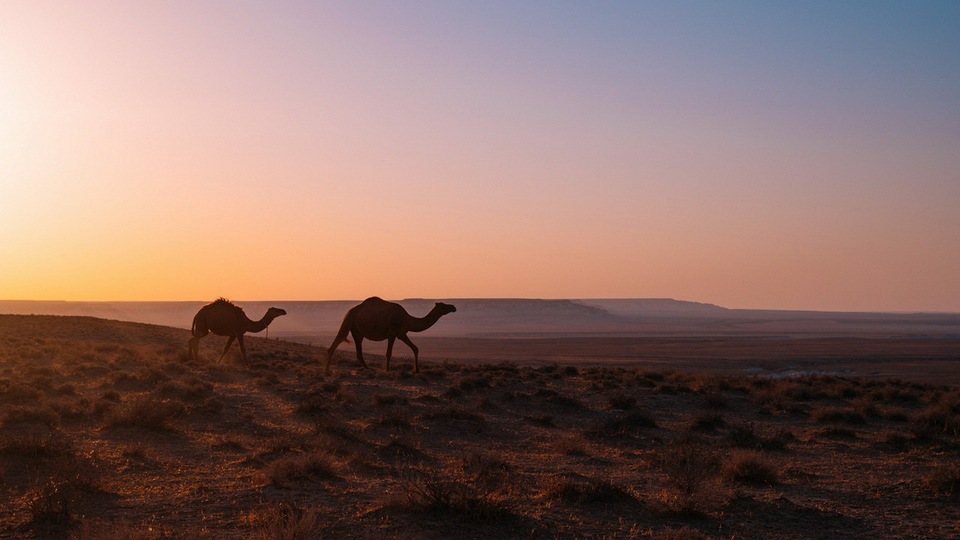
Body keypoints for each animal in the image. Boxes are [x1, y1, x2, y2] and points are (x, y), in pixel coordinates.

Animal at [324, 296, 456, 376]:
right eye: (443, 306)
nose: (453, 307)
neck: (407, 319)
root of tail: (349, 311)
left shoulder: (401, 333)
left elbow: (415, 348)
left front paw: (416, 370)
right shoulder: (392, 333)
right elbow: (389, 353)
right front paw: (387, 370)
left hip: (357, 331)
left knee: (358, 352)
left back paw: (368, 369)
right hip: (348, 322)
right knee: (337, 342)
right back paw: (327, 371)